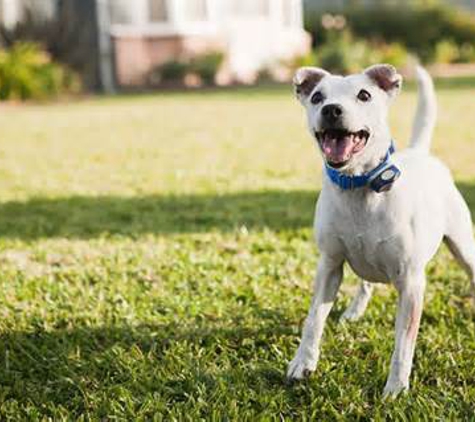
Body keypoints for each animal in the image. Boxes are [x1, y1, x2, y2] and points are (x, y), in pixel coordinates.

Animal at [286, 64, 475, 398]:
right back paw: (354, 311)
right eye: (317, 96)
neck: (359, 185)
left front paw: (396, 388)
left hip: (463, 245)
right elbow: (313, 320)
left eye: (364, 95)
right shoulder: (329, 265)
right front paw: (302, 362)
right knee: (366, 282)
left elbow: (403, 345)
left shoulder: (411, 283)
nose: (331, 109)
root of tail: (421, 153)